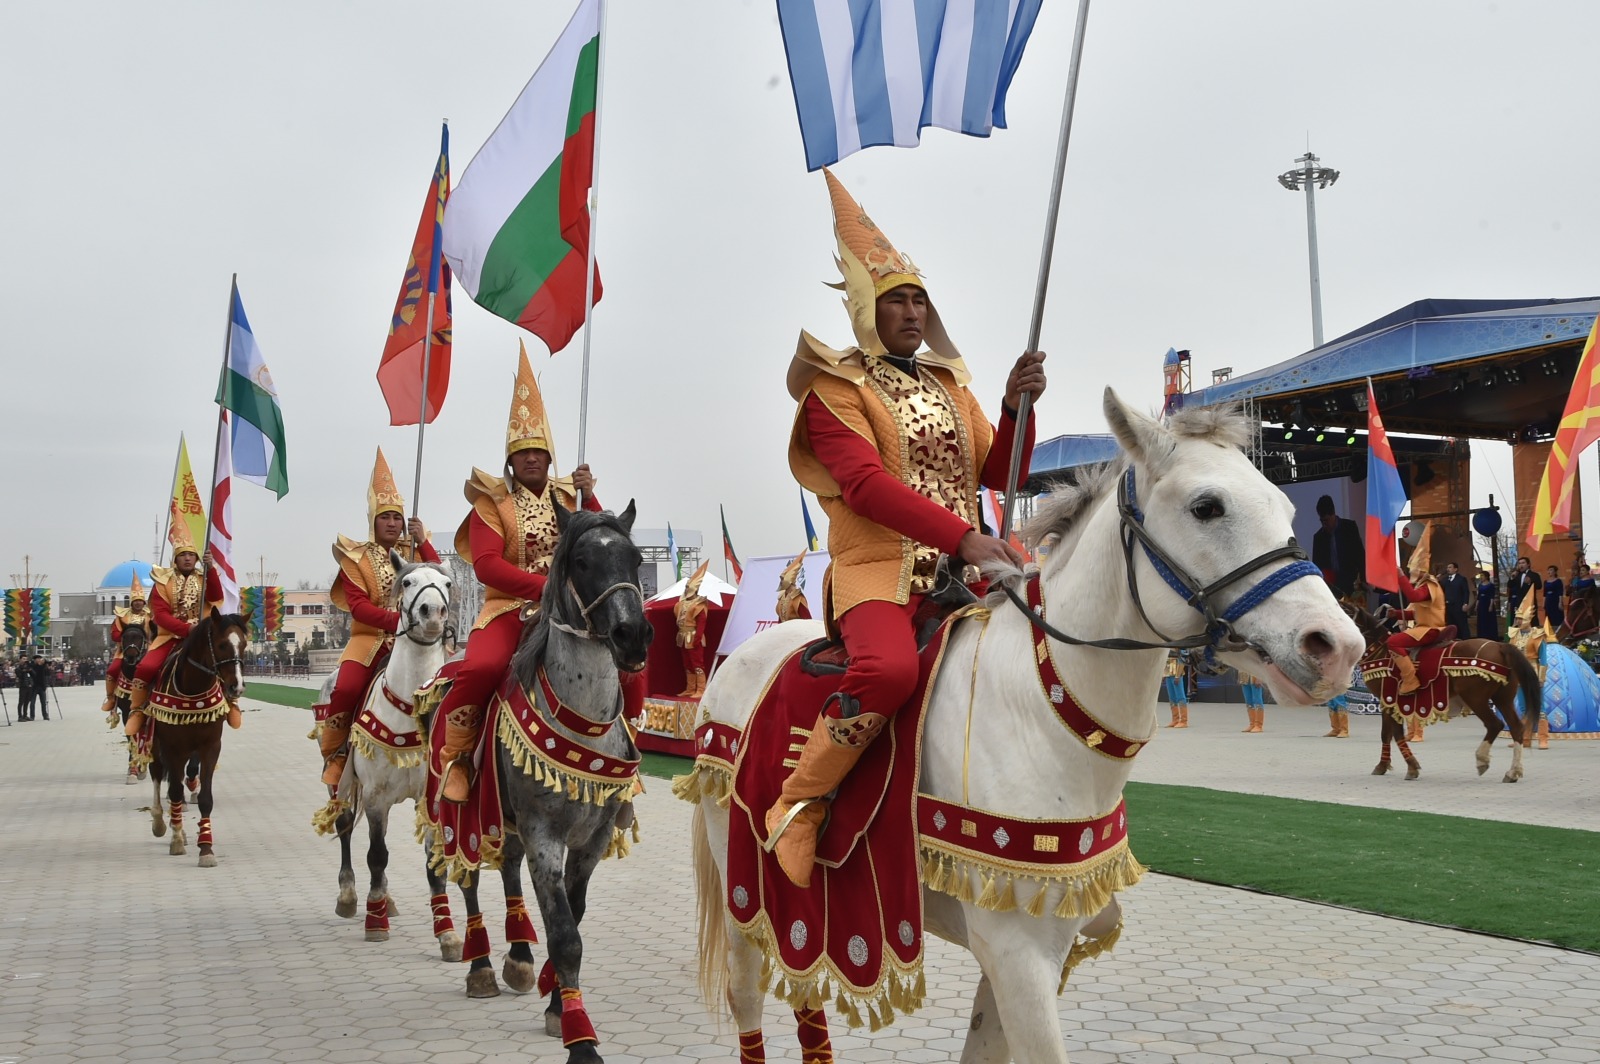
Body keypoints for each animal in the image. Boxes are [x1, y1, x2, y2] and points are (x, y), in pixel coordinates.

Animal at [143, 611, 249, 870]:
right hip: (156, 745)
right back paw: (162, 823)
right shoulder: (172, 749)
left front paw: (206, 849)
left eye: (243, 644)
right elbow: (174, 791)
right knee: (158, 774)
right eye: (221, 645)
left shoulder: (210, 747)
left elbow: (205, 798)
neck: (193, 690)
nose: (237, 686)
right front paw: (176, 840)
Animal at [313, 550, 460, 960]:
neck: (411, 707)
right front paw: (375, 922)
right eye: (408, 582)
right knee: (346, 827)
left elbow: (434, 865)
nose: (433, 613)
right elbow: (376, 854)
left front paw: (447, 934)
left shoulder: (430, 798)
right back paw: (350, 897)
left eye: (447, 583)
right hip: (341, 782)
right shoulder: (376, 796)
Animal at [681, 390, 1369, 1062]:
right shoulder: (1018, 953)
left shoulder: (1038, 944)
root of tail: (737, 658)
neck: (1047, 717)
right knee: (748, 993)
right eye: (1207, 506)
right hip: (741, 878)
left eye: (1286, 506)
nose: (1337, 647)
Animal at [1344, 604, 1542, 780]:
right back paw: (1513, 772)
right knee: (1516, 727)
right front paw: (1384, 765)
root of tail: (1500, 646)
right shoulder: (1389, 702)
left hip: (1476, 698)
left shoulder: (1388, 700)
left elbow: (1393, 733)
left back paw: (1482, 760)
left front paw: (1409, 766)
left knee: (1494, 725)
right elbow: (1388, 733)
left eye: (1344, 612)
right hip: (1503, 698)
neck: (1382, 652)